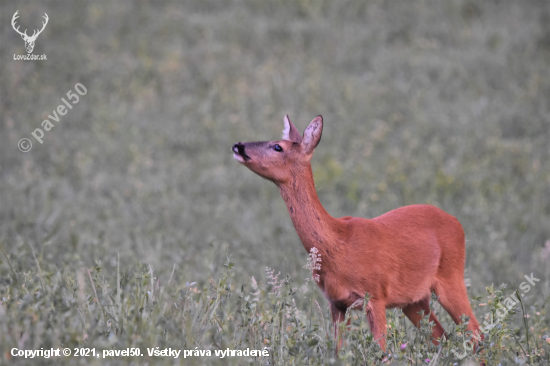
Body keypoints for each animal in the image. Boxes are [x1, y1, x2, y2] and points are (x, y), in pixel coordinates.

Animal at [233, 115, 484, 358]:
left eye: (278, 146)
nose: (238, 145)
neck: (338, 245)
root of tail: (457, 222)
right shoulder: (336, 302)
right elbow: (337, 352)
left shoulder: (375, 296)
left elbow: (381, 353)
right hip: (414, 301)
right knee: (442, 336)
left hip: (451, 277)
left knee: (477, 334)